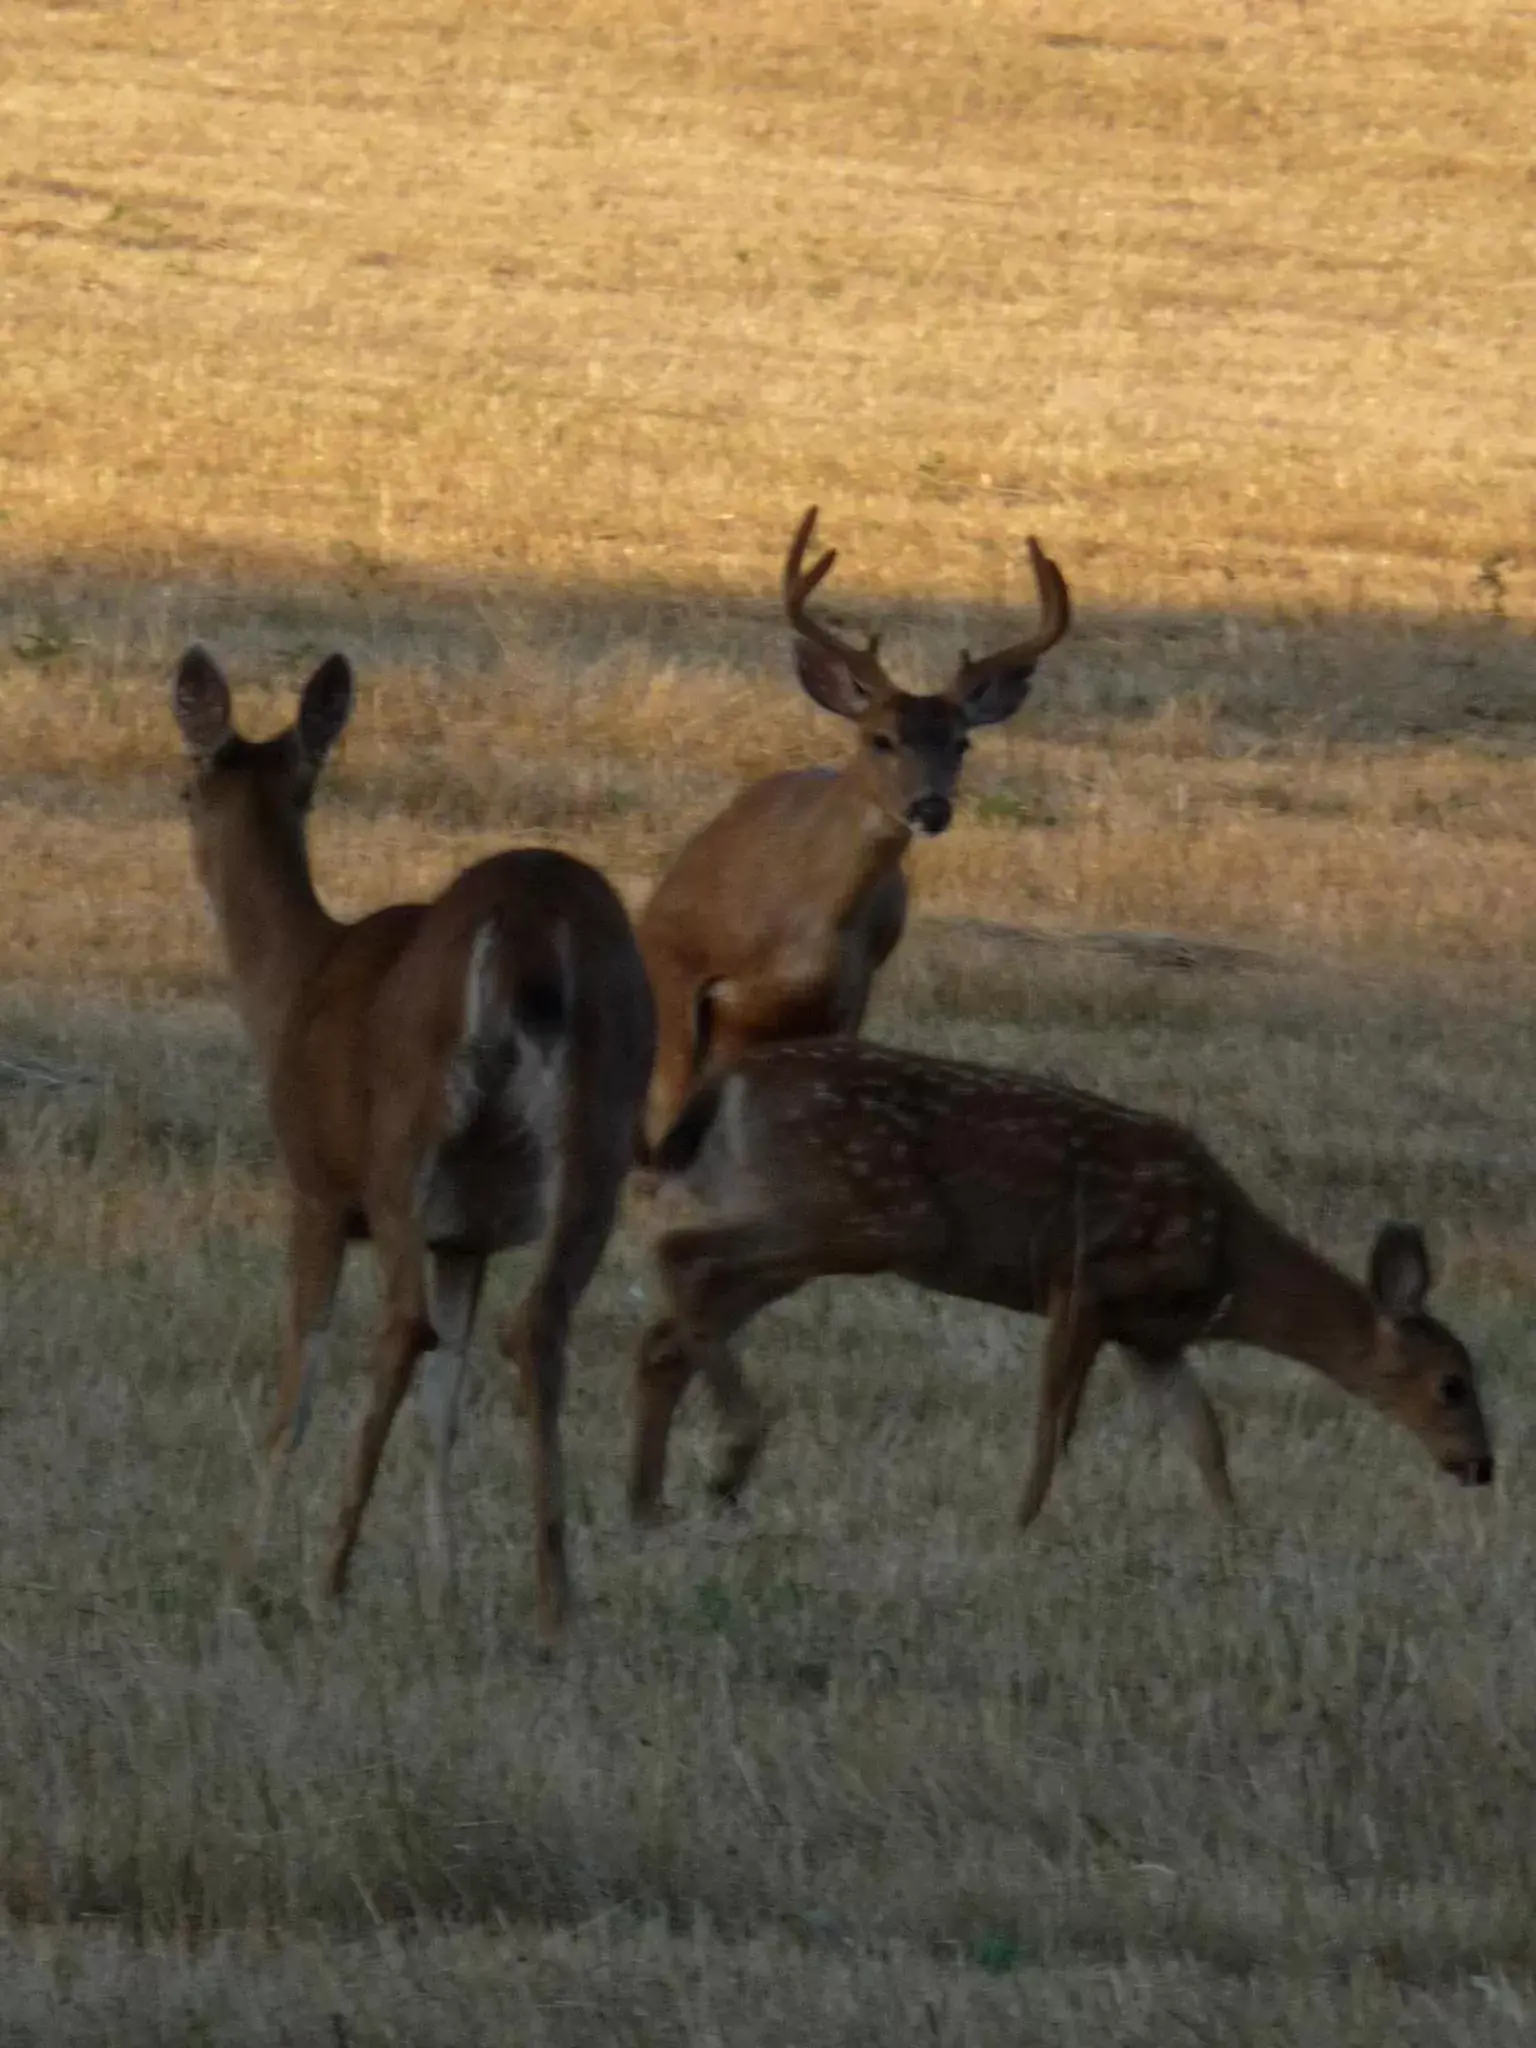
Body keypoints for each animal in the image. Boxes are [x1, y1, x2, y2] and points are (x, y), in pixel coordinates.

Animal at [173, 647, 655, 1638]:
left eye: (183, 788)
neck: (296, 984)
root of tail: (529, 923)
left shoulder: (318, 1189)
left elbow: (300, 1380)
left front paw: (243, 1574)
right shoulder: (468, 1235)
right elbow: (447, 1407)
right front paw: (445, 1588)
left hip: (406, 1135)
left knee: (400, 1327)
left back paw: (328, 1577)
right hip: (601, 1124)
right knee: (538, 1323)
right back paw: (556, 1603)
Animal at [622, 1048, 1490, 1531]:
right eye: (1452, 1383)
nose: (1482, 1466)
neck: (1229, 1268)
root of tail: (727, 1083)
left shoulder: (1154, 1336)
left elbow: (1204, 1435)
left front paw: (1240, 1534)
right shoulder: (1089, 1281)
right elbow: (1056, 1419)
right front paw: (1022, 1524)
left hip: (803, 1222)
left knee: (668, 1324)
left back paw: (655, 1498)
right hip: (853, 1214)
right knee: (677, 1251)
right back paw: (732, 1452)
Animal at [638, 503, 1073, 1155]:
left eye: (962, 743)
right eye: (881, 738)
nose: (931, 809)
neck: (794, 932)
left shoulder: (847, 998)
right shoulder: (676, 963)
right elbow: (663, 1111)